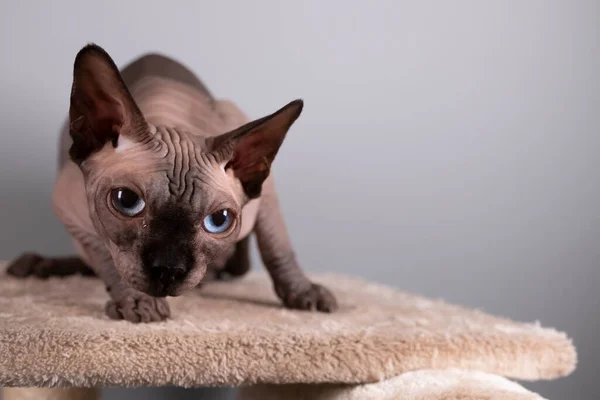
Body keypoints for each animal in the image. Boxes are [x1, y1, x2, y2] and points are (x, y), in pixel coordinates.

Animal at [7, 43, 338, 324]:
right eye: (126, 201)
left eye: (219, 220)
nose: (169, 269)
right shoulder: (68, 209)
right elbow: (106, 258)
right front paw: (137, 301)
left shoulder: (265, 197)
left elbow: (277, 247)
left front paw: (303, 292)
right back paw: (34, 265)